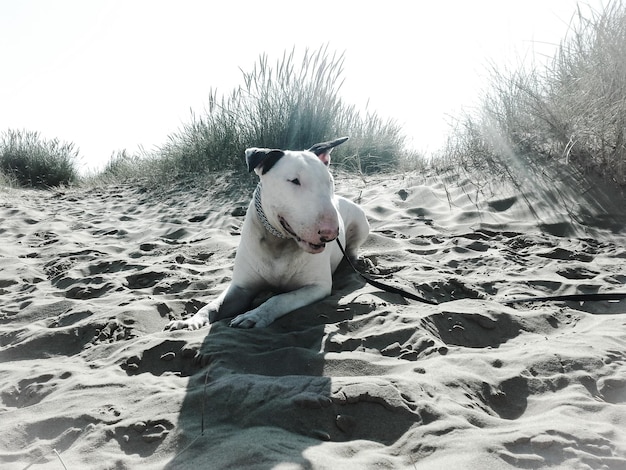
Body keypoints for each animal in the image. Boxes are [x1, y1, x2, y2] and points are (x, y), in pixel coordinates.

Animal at [166, 137, 368, 330]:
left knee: (352, 248)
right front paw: (189, 321)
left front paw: (253, 316)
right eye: (294, 181)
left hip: (361, 223)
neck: (279, 241)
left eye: (330, 181)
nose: (331, 233)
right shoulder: (240, 288)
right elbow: (212, 305)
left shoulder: (317, 287)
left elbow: (279, 298)